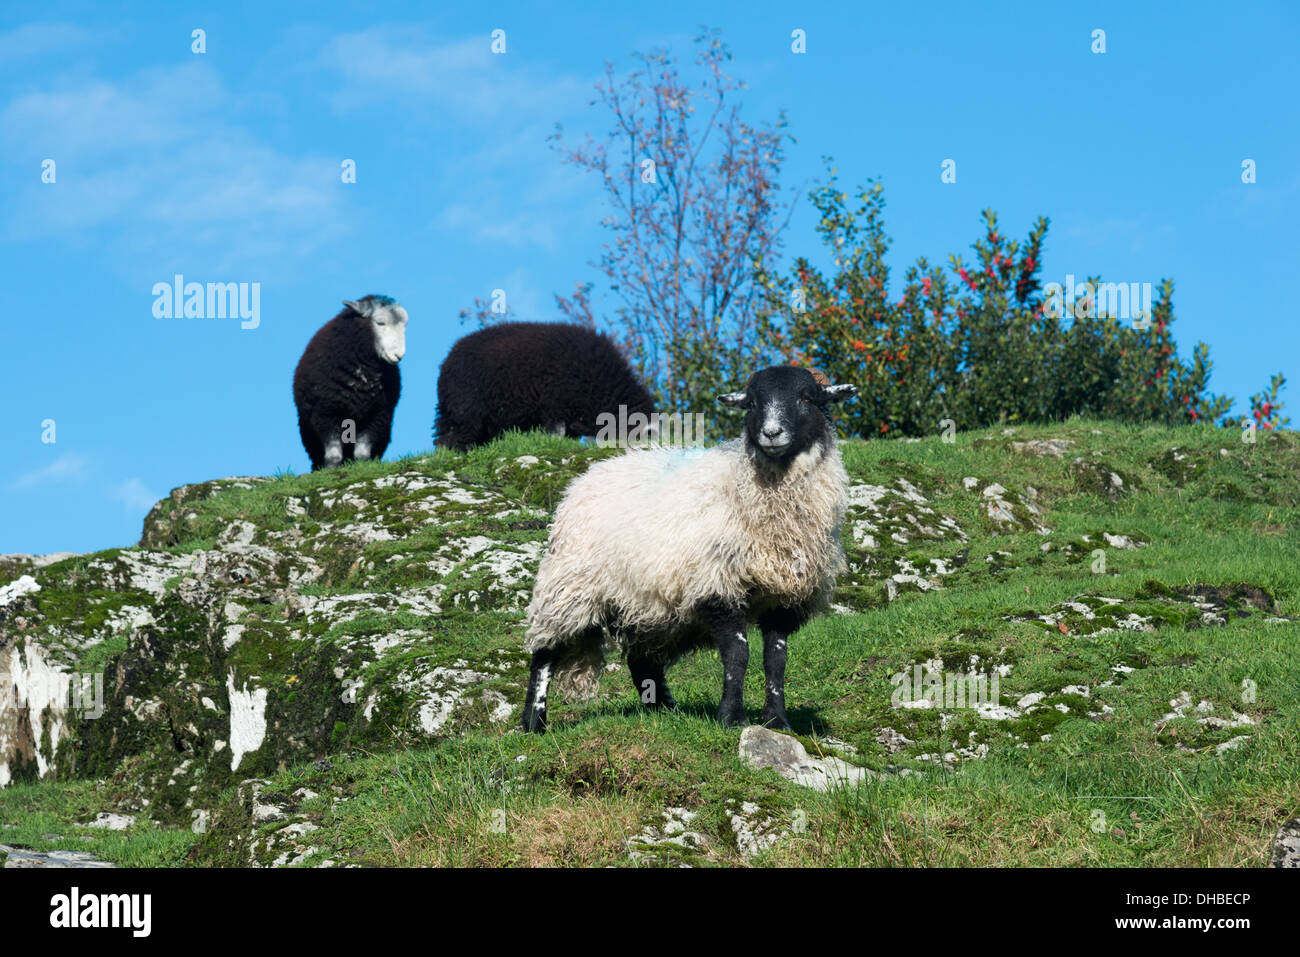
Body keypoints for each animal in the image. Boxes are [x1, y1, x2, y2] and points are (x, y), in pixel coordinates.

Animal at [293, 293, 405, 468]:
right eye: (380, 323)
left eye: (404, 325)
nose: (399, 355)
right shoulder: (325, 414)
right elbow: (333, 456)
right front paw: (331, 469)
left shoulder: (376, 417)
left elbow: (362, 454)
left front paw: (362, 467)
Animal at [522, 366, 857, 733]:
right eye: (752, 403)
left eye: (806, 398)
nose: (771, 433)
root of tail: (583, 480)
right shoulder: (718, 584)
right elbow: (738, 654)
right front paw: (732, 718)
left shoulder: (785, 598)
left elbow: (776, 659)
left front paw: (777, 721)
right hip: (568, 588)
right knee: (545, 654)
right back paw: (534, 722)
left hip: (646, 604)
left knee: (642, 661)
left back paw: (665, 710)